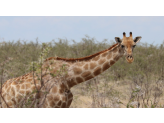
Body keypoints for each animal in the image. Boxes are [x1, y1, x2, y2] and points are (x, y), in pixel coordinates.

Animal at [0, 31, 141, 107]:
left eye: (134, 45)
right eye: (122, 45)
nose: (130, 58)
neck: (68, 80)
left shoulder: (65, 105)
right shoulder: (48, 105)